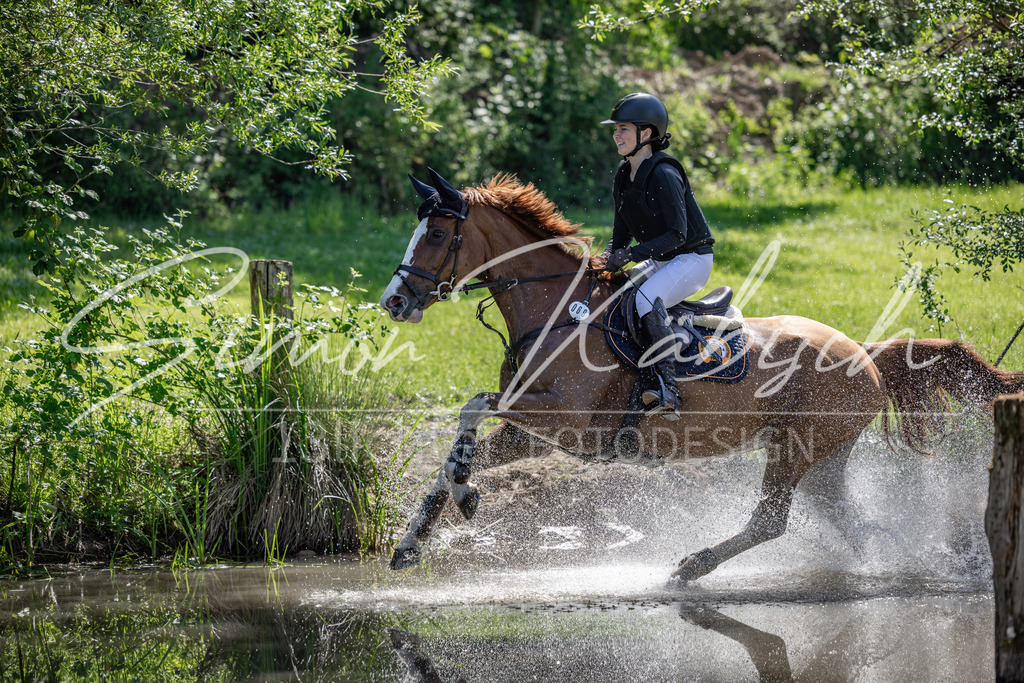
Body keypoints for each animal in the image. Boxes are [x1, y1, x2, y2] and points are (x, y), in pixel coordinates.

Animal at [379, 168, 1024, 582]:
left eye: (435, 234)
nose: (393, 302)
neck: (559, 311)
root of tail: (863, 353)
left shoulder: (567, 421)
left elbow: (472, 405)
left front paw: (467, 496)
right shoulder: (528, 428)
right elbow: (450, 459)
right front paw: (418, 537)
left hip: (796, 448)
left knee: (771, 521)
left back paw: (691, 568)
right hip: (822, 459)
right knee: (850, 524)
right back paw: (921, 564)